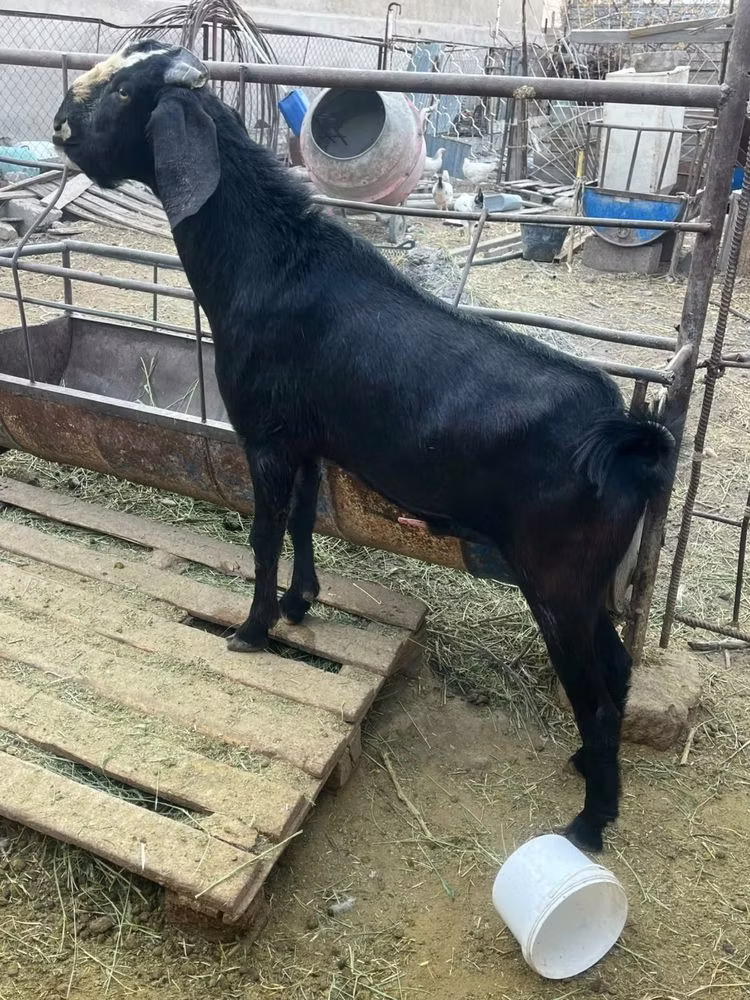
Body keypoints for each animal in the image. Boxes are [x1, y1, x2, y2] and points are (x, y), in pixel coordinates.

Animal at [53, 41, 675, 853]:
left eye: (127, 92)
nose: (60, 126)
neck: (269, 265)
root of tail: (627, 437)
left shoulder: (265, 435)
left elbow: (263, 532)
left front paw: (252, 628)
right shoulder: (309, 439)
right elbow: (301, 521)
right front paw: (300, 604)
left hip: (558, 577)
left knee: (597, 692)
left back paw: (590, 823)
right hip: (591, 578)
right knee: (620, 668)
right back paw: (583, 769)